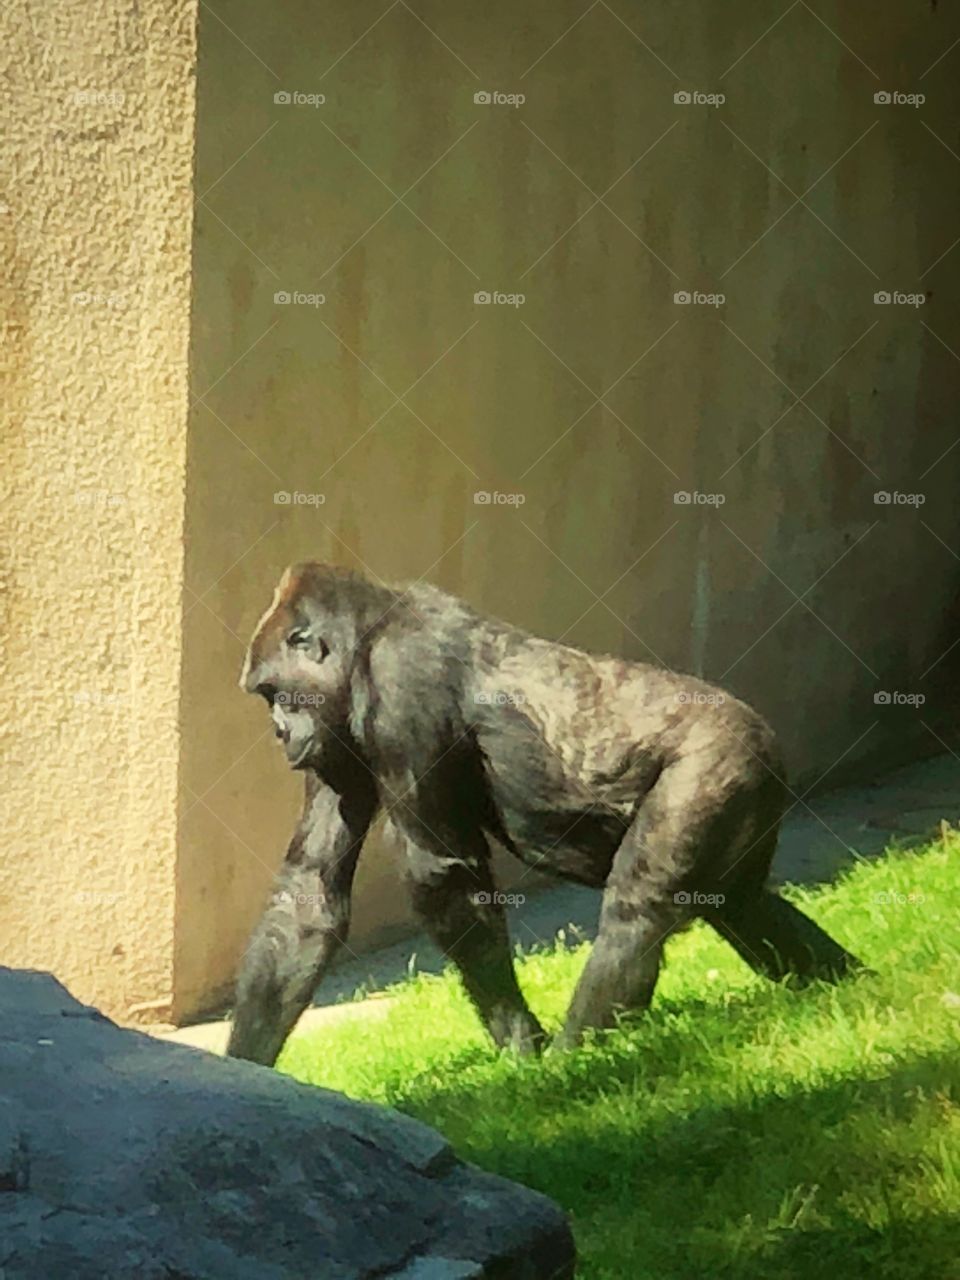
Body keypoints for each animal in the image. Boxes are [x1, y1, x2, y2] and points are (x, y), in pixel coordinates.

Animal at [226, 562, 863, 1066]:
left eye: (273, 693)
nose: (279, 733)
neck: (367, 634)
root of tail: (766, 738)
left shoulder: (401, 683)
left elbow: (443, 873)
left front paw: (520, 1045)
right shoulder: (333, 742)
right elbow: (310, 892)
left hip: (720, 758)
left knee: (637, 910)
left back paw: (574, 1058)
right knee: (740, 901)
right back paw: (844, 984)